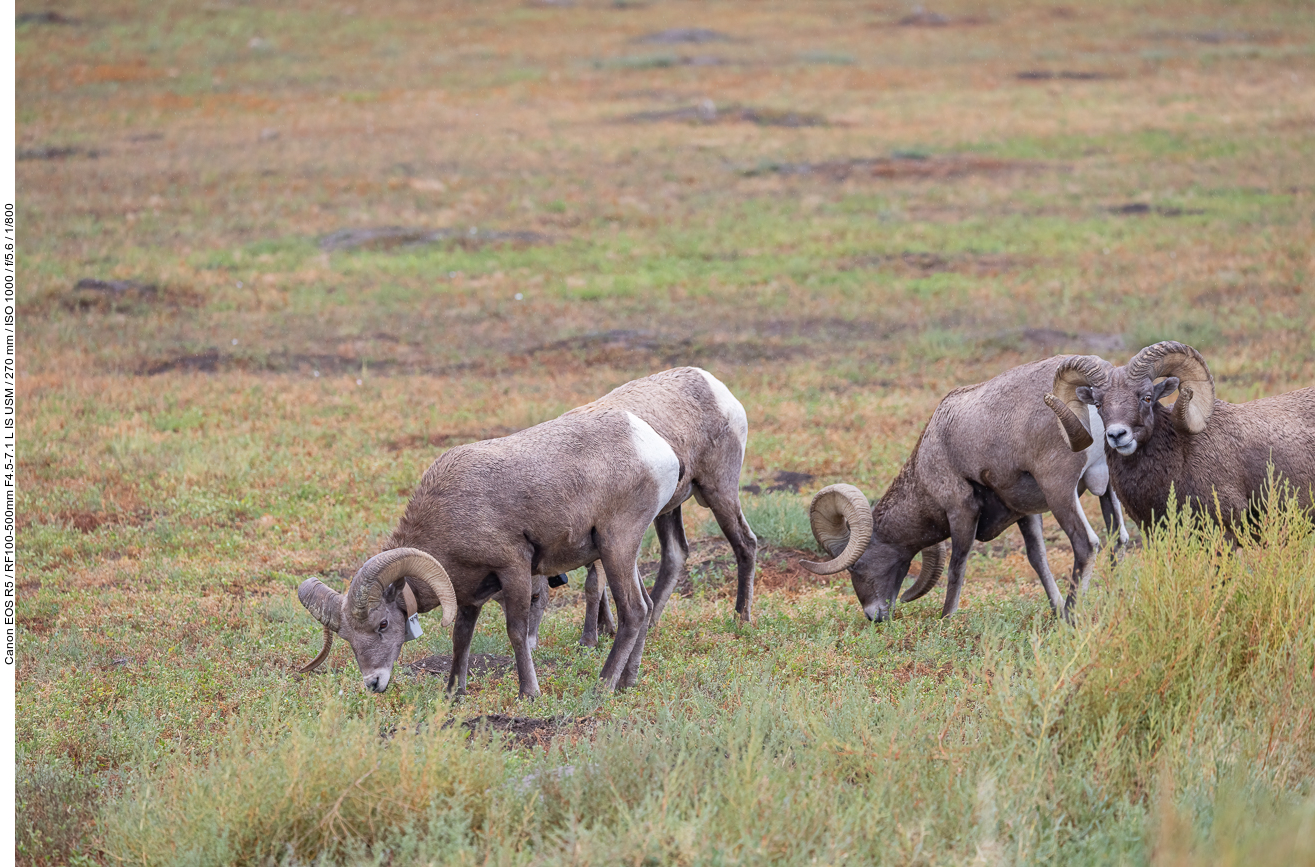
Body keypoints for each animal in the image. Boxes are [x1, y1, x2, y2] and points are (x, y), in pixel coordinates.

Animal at [297, 365, 752, 699]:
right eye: (349, 638)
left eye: (382, 626)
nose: (373, 684)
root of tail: (657, 449)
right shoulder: (469, 590)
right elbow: (462, 637)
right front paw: (454, 693)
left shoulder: (514, 569)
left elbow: (517, 631)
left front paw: (528, 693)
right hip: (637, 539)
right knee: (652, 592)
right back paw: (627, 682)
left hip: (630, 537)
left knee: (643, 607)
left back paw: (606, 684)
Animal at [799, 355, 1130, 620]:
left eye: (854, 567)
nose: (874, 617)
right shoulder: (1026, 512)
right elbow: (1038, 559)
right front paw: (1056, 609)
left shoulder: (961, 510)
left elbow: (957, 565)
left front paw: (946, 618)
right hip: (1108, 491)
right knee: (1119, 541)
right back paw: (1110, 604)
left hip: (1060, 492)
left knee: (1086, 544)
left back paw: (1073, 618)